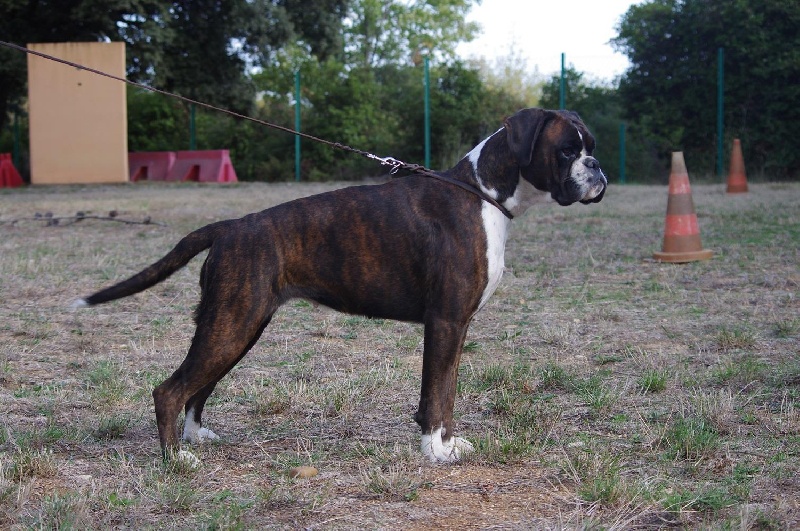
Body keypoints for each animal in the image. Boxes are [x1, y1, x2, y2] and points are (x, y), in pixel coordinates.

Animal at [75, 108, 608, 466]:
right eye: (567, 150)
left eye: (592, 147)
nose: (597, 169)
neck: (481, 193)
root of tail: (231, 226)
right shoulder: (447, 323)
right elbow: (438, 394)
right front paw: (436, 451)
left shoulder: (455, 328)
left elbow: (446, 392)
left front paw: (446, 444)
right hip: (232, 324)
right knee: (169, 389)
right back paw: (176, 460)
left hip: (238, 325)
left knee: (196, 386)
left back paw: (195, 438)